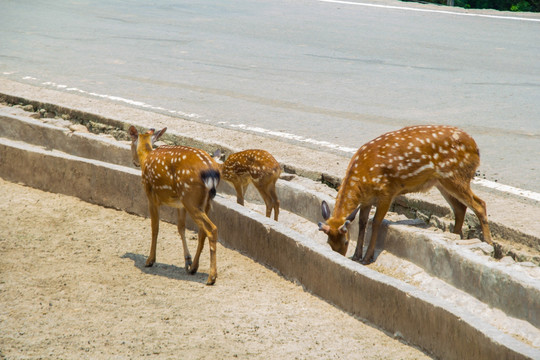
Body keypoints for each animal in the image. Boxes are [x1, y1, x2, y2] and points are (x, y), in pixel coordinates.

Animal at [129, 125, 221, 286]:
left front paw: (150, 260)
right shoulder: (180, 205)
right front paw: (187, 261)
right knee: (202, 231)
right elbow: (180, 228)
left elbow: (155, 227)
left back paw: (211, 277)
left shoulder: (151, 196)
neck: (146, 157)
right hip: (202, 201)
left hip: (190, 197)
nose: (133, 161)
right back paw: (194, 267)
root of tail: (212, 172)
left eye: (129, 144)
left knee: (212, 229)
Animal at [320, 126, 494, 264]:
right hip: (442, 182)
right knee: (460, 208)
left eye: (345, 241)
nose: (339, 255)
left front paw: (367, 257)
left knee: (480, 204)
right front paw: (357, 256)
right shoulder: (366, 200)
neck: (362, 178)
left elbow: (375, 222)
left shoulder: (387, 191)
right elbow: (362, 222)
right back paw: (455, 236)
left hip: (456, 175)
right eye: (329, 243)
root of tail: (476, 148)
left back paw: (489, 244)